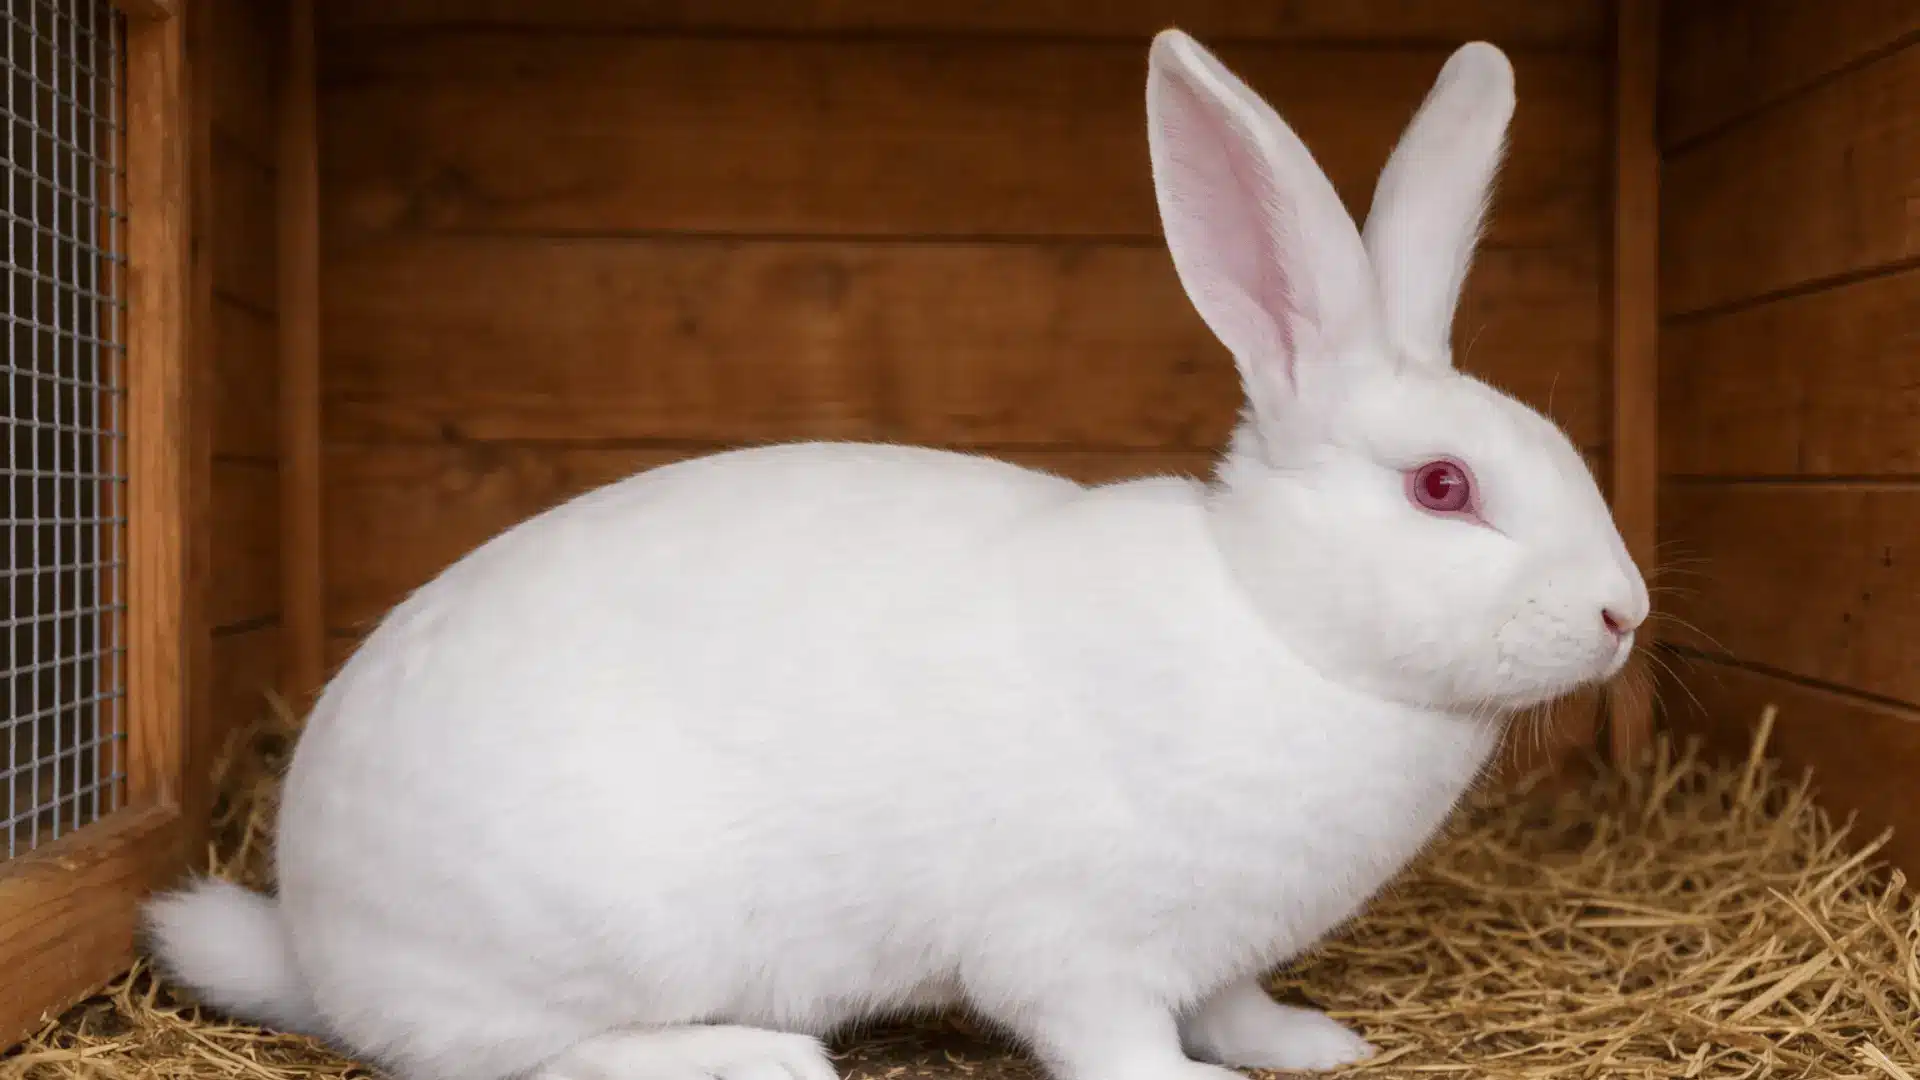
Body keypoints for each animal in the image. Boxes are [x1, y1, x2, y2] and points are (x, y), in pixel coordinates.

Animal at [144, 28, 1646, 1080]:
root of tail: (311, 937)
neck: (1281, 623)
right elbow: (1115, 1039)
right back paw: (751, 1057)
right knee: (510, 1058)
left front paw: (1313, 1045)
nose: (1624, 614)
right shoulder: (1078, 948)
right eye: (1444, 488)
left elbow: (1236, 1004)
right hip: (587, 937)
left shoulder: (1215, 951)